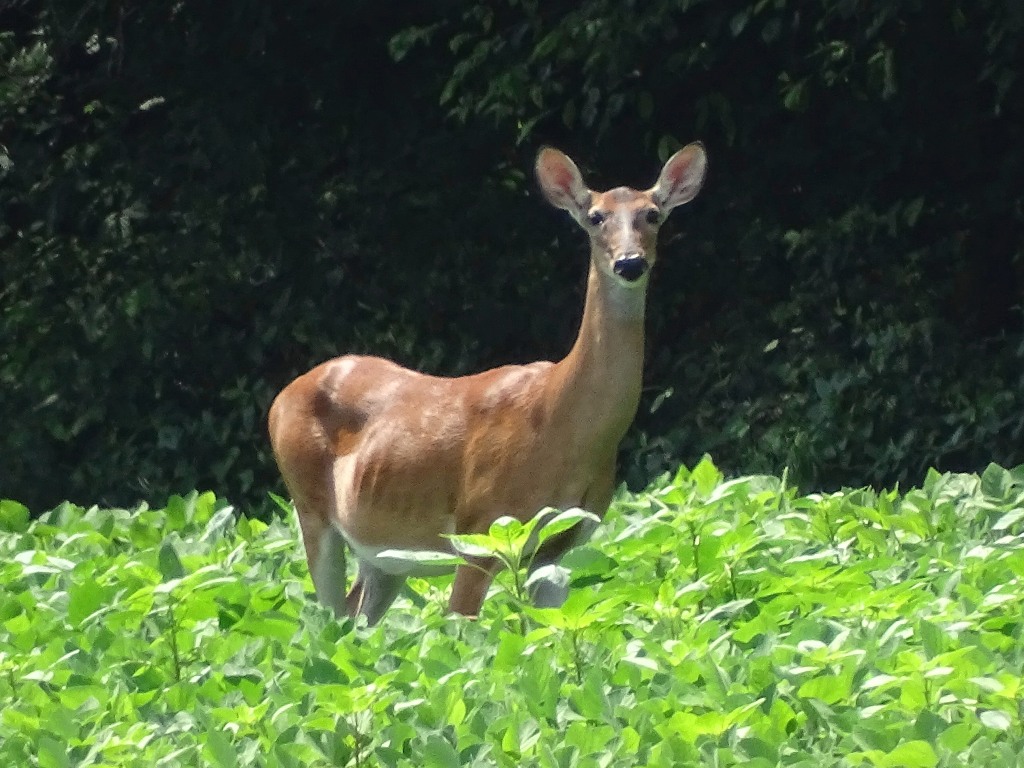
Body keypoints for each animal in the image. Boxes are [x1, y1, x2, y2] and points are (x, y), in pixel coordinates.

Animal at [268, 141, 707, 625]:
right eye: (595, 216)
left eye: (652, 214)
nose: (630, 263)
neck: (562, 422)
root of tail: (281, 397)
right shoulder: (481, 528)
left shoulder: (558, 546)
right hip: (310, 506)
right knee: (325, 618)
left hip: (385, 551)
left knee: (354, 615)